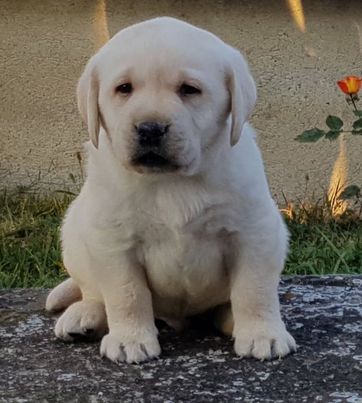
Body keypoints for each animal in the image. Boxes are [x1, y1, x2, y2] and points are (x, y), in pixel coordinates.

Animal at [45, 15, 296, 364]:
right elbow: (126, 293)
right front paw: (130, 339)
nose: (150, 129)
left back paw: (231, 319)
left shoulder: (254, 231)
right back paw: (85, 316)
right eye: (124, 88)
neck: (170, 181)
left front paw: (262, 334)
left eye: (189, 90)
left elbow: (254, 289)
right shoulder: (114, 240)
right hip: (76, 232)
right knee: (94, 291)